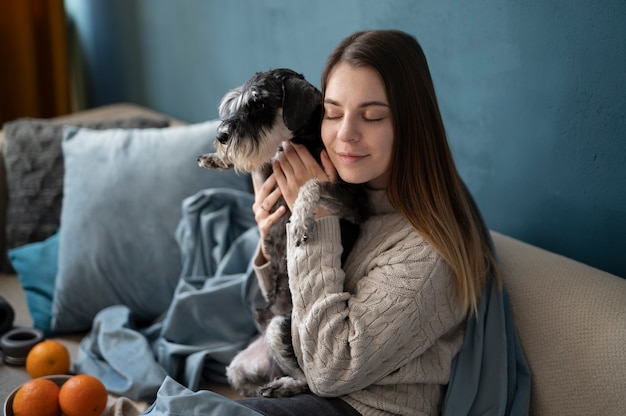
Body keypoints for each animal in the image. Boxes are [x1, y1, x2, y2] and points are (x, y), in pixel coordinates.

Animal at [197, 69, 366, 400]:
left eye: (260, 104)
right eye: (236, 104)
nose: (222, 136)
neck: (298, 140)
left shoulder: (349, 201)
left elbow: (312, 182)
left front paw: (299, 219)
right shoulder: (268, 170)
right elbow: (259, 162)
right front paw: (217, 159)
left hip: (280, 328)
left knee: (311, 382)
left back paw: (284, 387)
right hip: (241, 365)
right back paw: (269, 386)